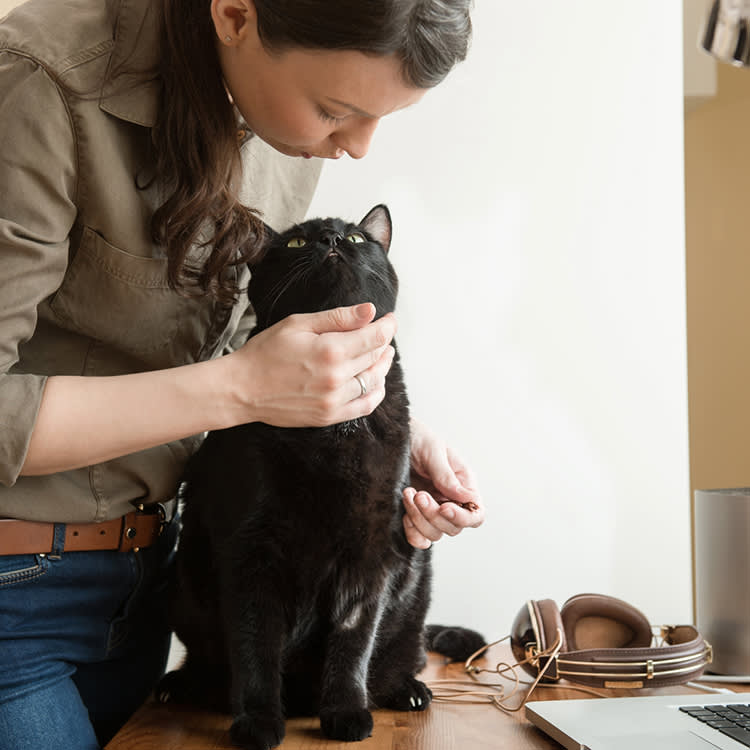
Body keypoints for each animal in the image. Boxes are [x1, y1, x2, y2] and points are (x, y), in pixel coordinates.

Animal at [161, 209, 484, 750]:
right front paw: (257, 722)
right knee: (207, 660)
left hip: (415, 584)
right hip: (185, 586)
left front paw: (346, 713)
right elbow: (255, 648)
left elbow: (353, 645)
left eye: (355, 237)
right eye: (295, 242)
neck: (334, 430)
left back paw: (407, 690)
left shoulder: (370, 554)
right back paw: (181, 686)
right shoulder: (250, 552)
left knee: (404, 653)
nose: (332, 239)